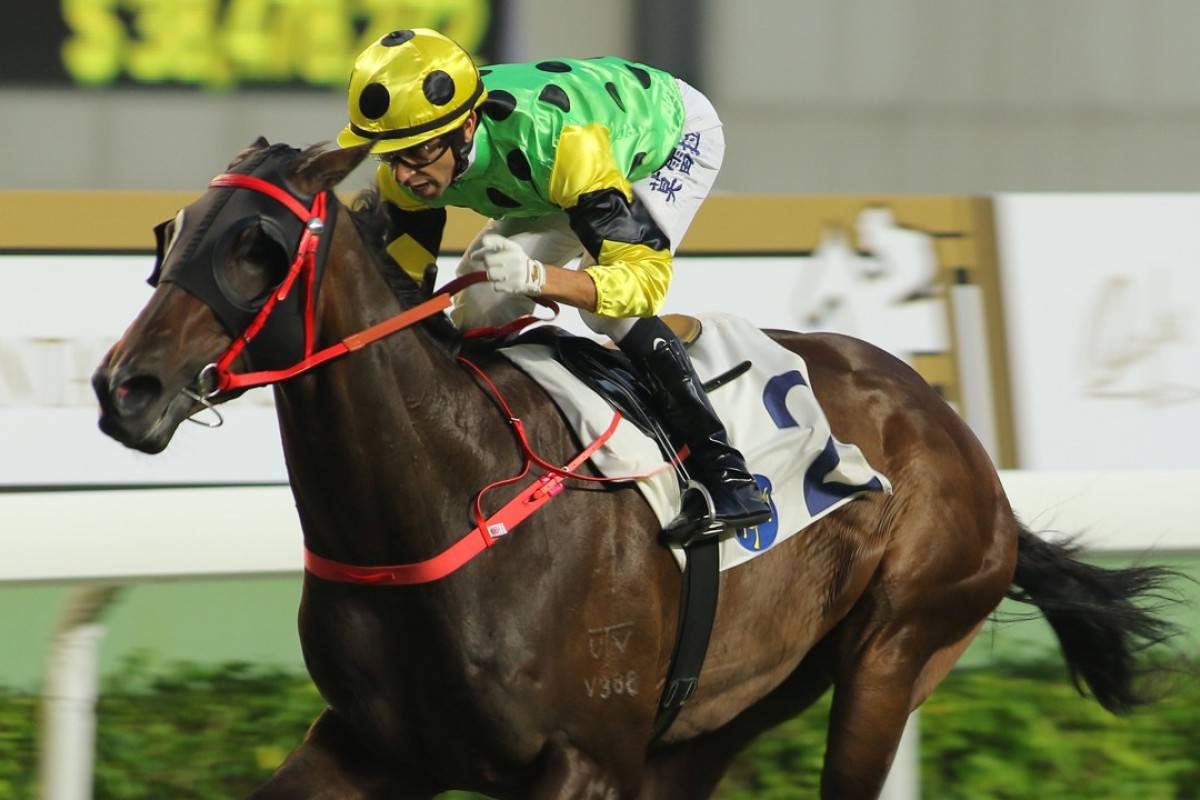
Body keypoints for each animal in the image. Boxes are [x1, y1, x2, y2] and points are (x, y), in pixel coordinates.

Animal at [88, 140, 1176, 796]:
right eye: (171, 232)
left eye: (256, 246)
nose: (124, 387)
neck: (447, 494)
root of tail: (955, 434)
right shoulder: (365, 744)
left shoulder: (585, 758)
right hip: (723, 710)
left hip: (896, 651)